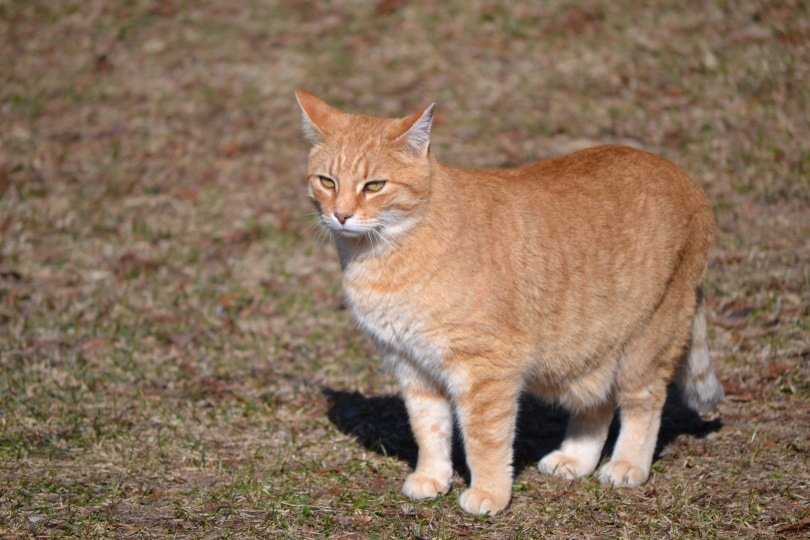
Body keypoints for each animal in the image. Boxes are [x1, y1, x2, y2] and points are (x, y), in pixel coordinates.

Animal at [296, 89, 720, 516]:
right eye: (328, 182)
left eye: (374, 186)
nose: (341, 215)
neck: (382, 257)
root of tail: (686, 178)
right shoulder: (411, 366)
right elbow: (428, 429)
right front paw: (432, 477)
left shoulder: (486, 369)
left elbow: (485, 439)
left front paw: (490, 493)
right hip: (591, 346)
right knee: (596, 403)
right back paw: (576, 459)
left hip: (647, 344)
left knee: (644, 404)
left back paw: (627, 464)